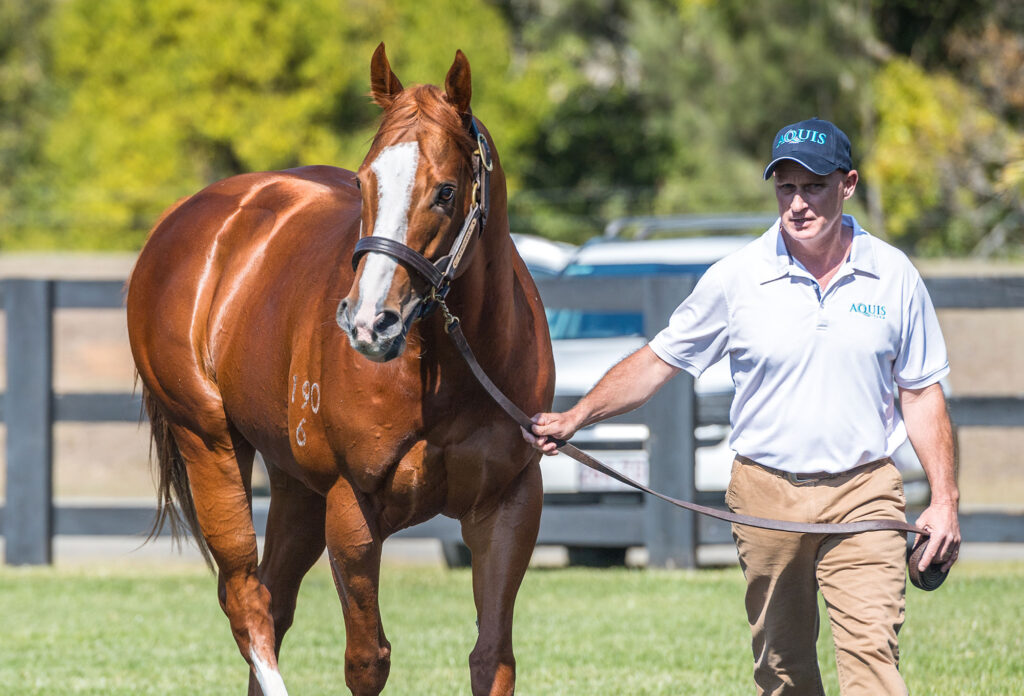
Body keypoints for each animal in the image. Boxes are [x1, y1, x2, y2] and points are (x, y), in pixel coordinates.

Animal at [126, 43, 554, 696]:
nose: (369, 322)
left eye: (446, 191)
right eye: (363, 180)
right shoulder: (352, 509)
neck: (450, 372)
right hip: (209, 444)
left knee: (273, 600)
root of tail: (185, 219)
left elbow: (492, 657)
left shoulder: (508, 505)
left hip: (295, 484)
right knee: (247, 602)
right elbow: (366, 660)